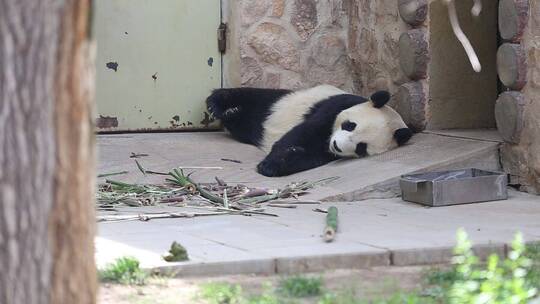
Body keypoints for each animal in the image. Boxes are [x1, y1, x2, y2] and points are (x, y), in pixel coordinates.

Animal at [207, 84, 414, 177]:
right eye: (350, 125)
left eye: (361, 147)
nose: (337, 146)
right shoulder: (334, 106)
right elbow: (302, 134)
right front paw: (270, 165)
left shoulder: (327, 152)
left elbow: (311, 156)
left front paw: (276, 165)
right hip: (279, 104)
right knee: (258, 98)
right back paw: (219, 103)